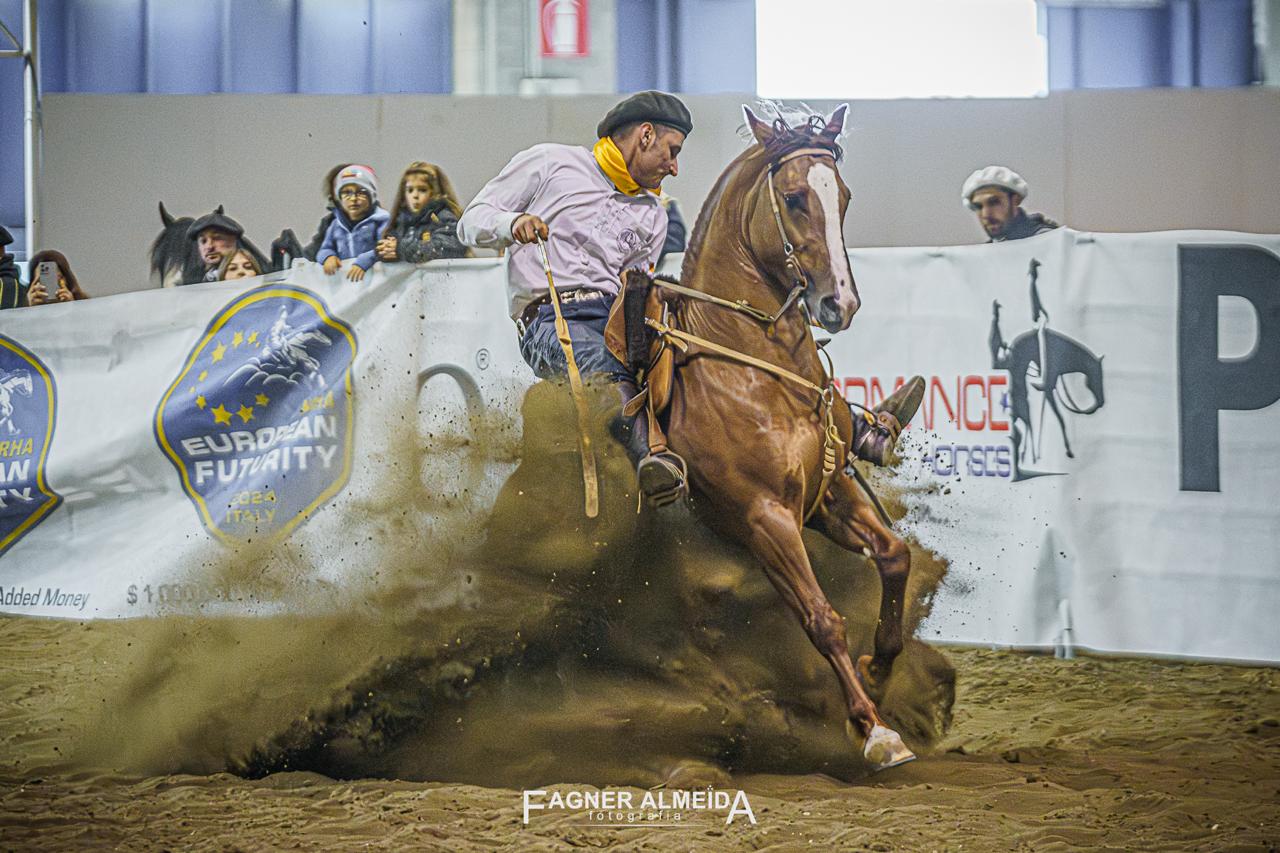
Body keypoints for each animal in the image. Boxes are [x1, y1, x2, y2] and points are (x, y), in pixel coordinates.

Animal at [653, 105, 916, 768]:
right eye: (795, 198)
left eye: (843, 197)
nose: (839, 304)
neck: (754, 368)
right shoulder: (764, 517)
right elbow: (822, 619)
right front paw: (876, 730)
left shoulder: (828, 494)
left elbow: (894, 556)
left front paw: (880, 671)